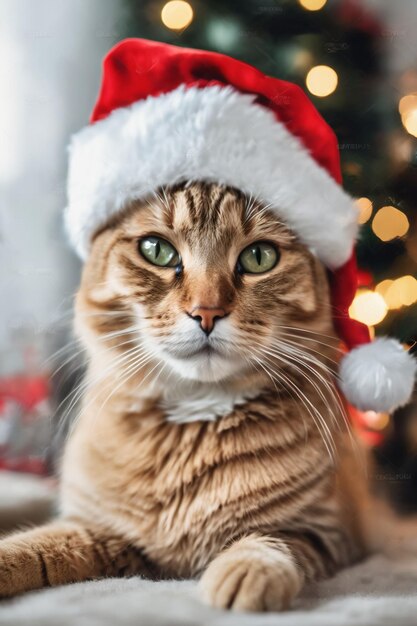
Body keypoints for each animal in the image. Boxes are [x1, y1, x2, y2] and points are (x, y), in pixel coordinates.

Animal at [0, 180, 370, 608]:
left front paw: (245, 575)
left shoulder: (327, 530)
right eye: (157, 250)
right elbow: (33, 547)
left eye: (259, 257)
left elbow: (271, 540)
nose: (206, 312)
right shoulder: (99, 529)